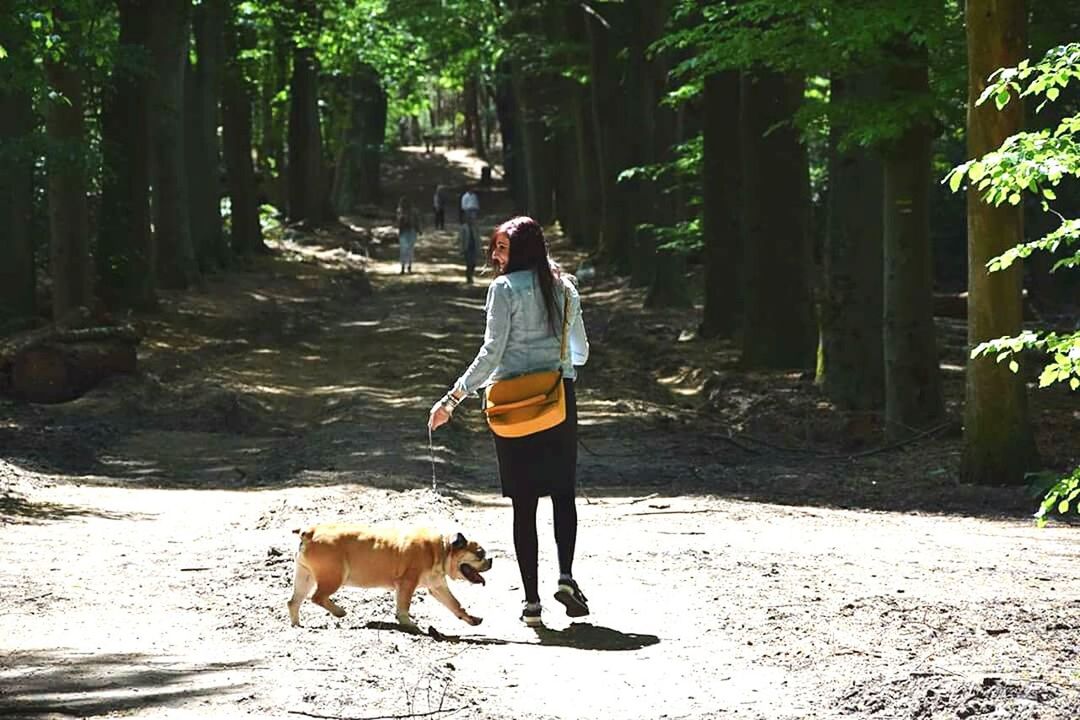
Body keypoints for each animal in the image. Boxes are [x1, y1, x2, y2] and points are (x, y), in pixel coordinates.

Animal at [285, 524, 492, 630]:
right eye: (480, 553)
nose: (490, 560)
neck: (442, 549)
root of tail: (309, 533)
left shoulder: (438, 588)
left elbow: (455, 604)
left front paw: (471, 618)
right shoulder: (407, 583)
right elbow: (403, 606)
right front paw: (408, 623)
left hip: (304, 577)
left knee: (294, 601)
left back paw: (297, 624)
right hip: (334, 578)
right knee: (317, 597)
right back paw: (339, 612)